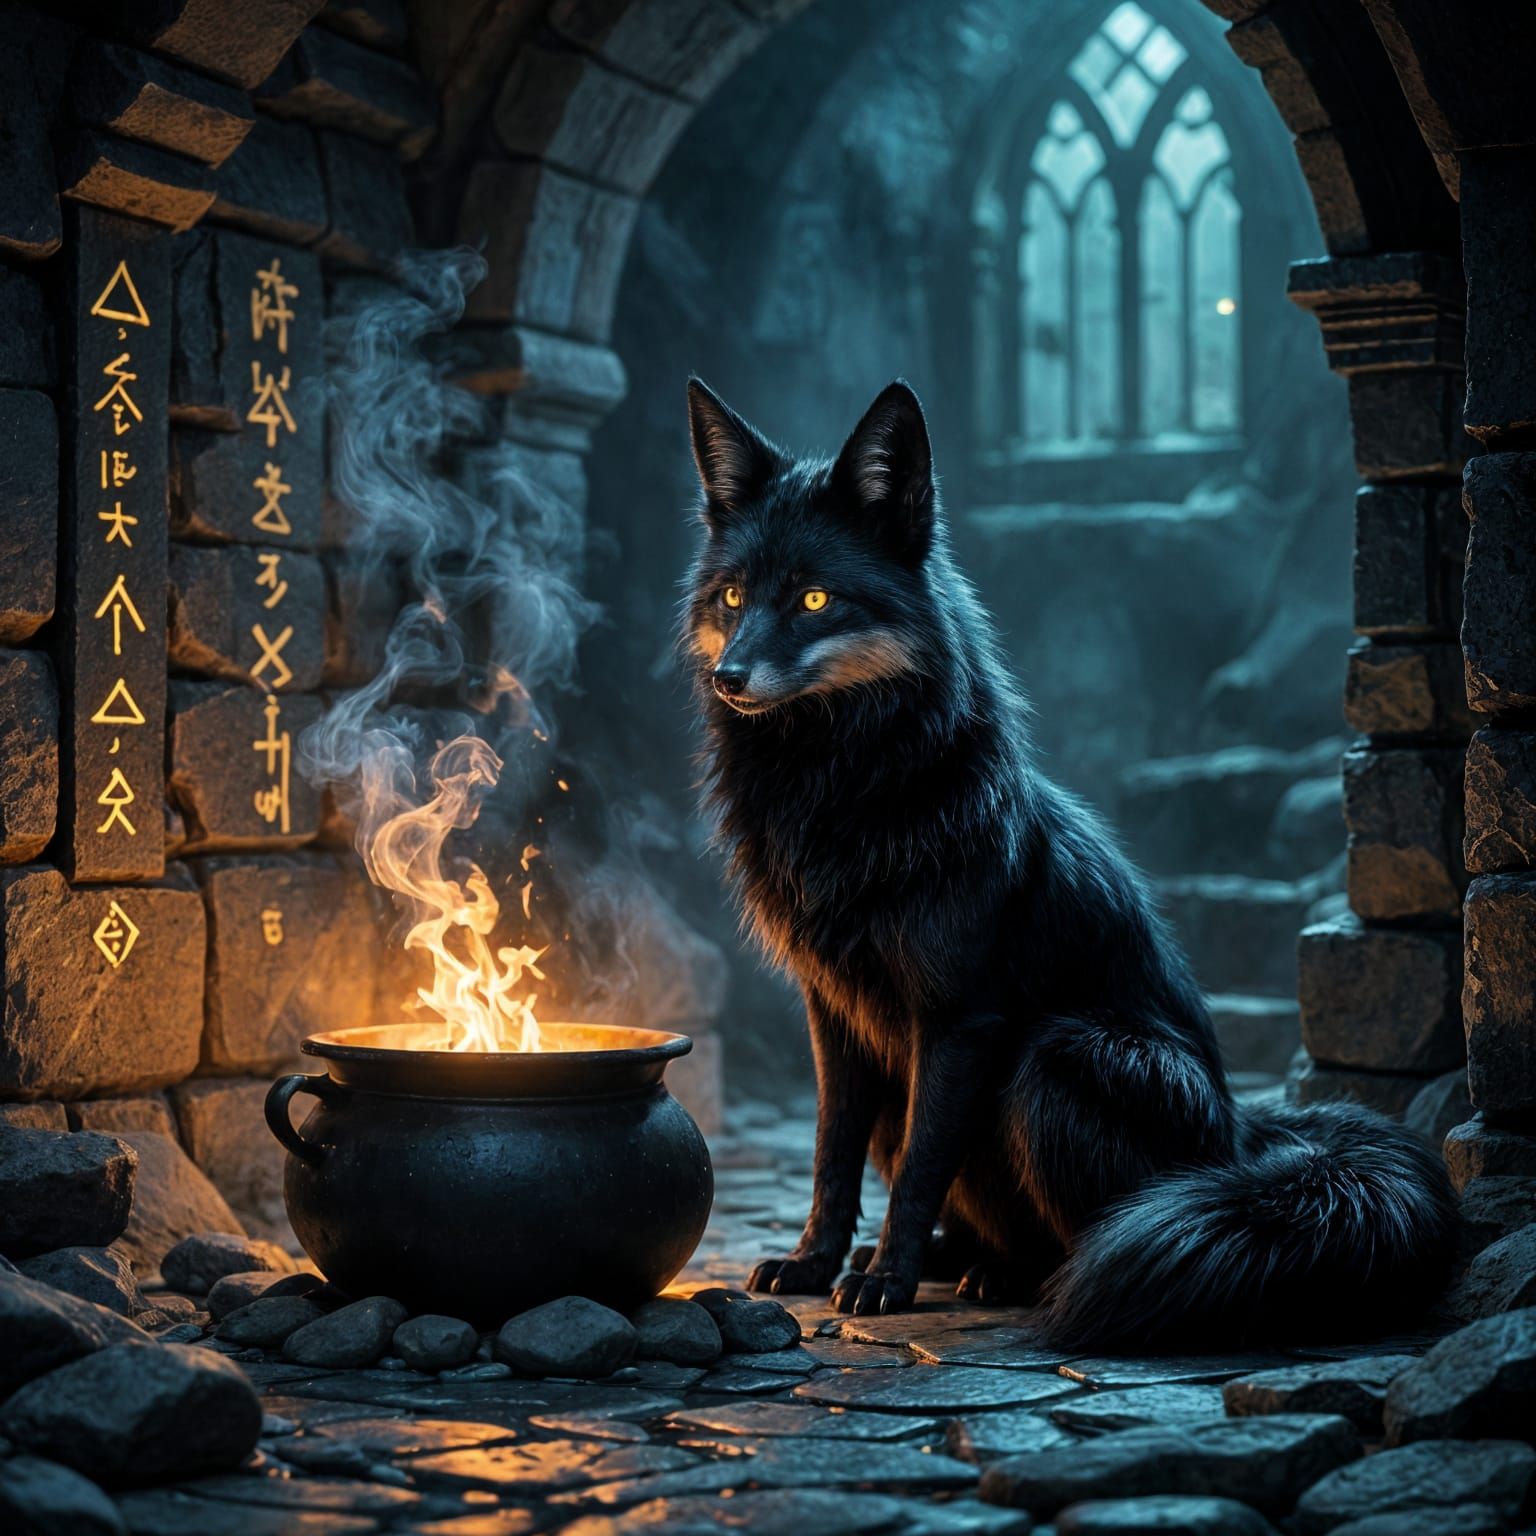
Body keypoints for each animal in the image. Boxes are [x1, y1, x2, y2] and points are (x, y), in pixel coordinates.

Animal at [680, 374, 1458, 1348]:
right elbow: (831, 1156)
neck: (841, 796)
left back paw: (1004, 1275)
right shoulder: (834, 1012)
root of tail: (1245, 1141)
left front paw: (886, 1280)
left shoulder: (957, 1019)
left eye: (816, 601)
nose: (731, 680)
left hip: (1057, 1058)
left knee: (1076, 1236)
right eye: (734, 598)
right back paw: (952, 1259)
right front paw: (817, 1264)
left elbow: (920, 1168)